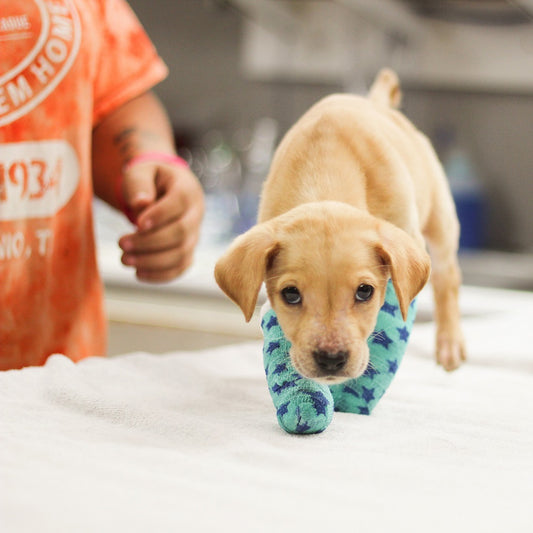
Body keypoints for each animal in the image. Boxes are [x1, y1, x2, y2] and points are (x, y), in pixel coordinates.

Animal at [214, 68, 464, 380]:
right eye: (290, 294)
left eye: (365, 291)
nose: (331, 360)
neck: (322, 177)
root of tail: (374, 101)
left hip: (440, 218)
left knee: (447, 277)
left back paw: (449, 344)